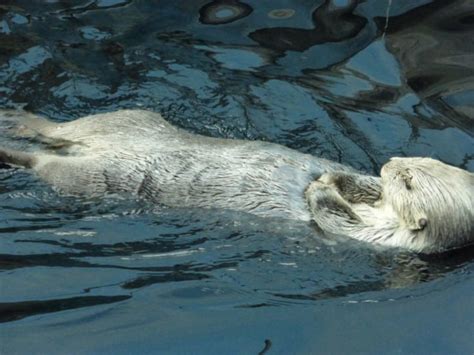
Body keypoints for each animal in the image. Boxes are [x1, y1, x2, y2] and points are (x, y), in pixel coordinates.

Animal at [0, 108, 474, 253]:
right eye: (416, 161)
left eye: (408, 179)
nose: (390, 163)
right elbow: (350, 184)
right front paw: (336, 176)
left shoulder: (371, 238)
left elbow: (328, 215)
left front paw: (320, 187)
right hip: (122, 119)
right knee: (53, 128)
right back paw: (18, 117)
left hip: (86, 176)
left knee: (42, 159)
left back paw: (9, 148)